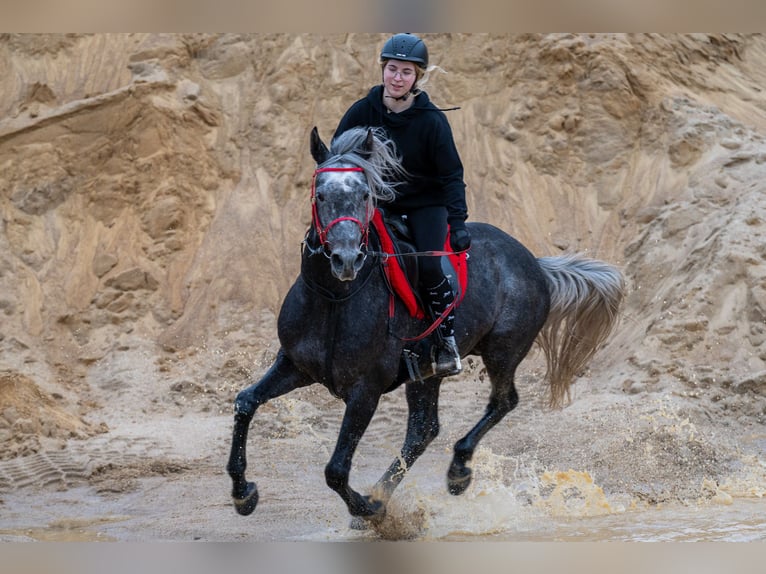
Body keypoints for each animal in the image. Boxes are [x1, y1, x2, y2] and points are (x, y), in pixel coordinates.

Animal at [225, 128, 628, 524]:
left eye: (365, 194)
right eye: (320, 195)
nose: (346, 259)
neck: (334, 299)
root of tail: (535, 264)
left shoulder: (365, 390)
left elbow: (336, 470)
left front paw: (368, 509)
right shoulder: (295, 365)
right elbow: (245, 402)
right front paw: (244, 494)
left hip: (503, 351)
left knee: (502, 401)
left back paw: (456, 474)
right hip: (426, 372)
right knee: (424, 428)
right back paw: (391, 490)